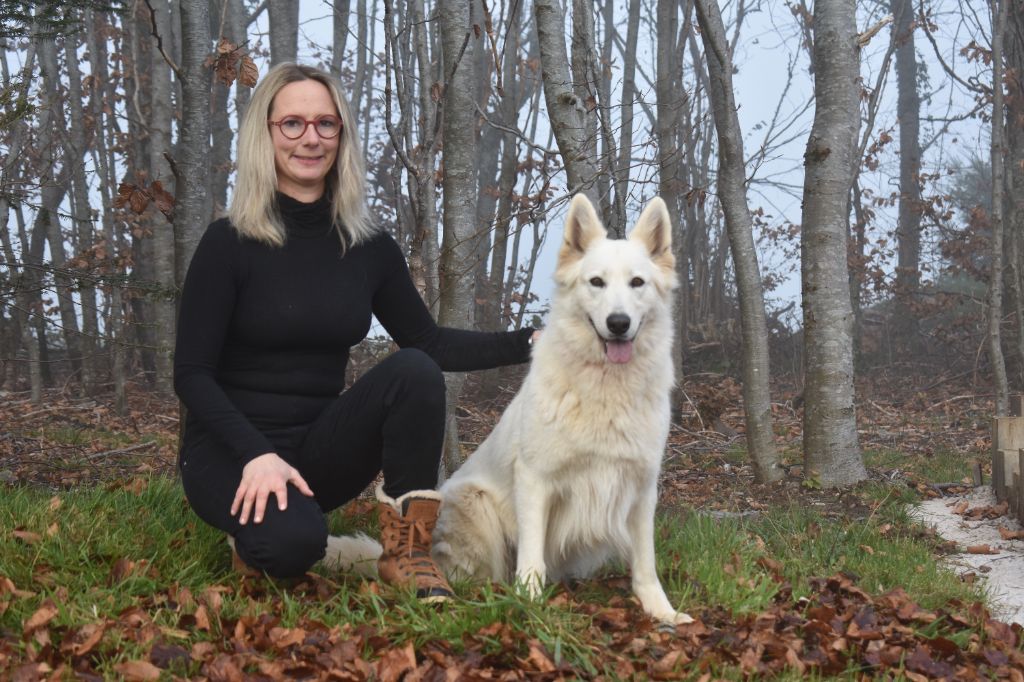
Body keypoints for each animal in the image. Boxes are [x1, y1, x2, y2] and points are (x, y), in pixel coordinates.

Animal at [429, 194, 692, 624]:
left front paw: (661, 612)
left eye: (637, 283)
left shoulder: (641, 486)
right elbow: (532, 558)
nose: (618, 323)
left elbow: (646, 562)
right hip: (474, 500)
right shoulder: (535, 480)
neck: (606, 388)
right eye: (596, 282)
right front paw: (530, 605)